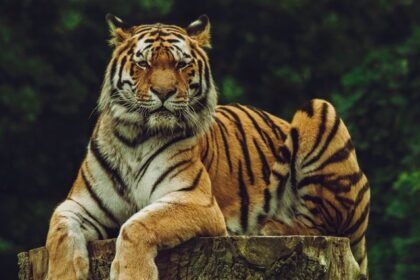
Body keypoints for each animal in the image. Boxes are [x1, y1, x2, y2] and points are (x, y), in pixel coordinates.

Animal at [44, 13, 370, 280]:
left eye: (181, 64)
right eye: (143, 63)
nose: (164, 92)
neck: (135, 137)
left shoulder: (195, 200)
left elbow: (137, 225)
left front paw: (132, 274)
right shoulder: (78, 205)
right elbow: (58, 232)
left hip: (319, 109)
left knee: (323, 225)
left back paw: (270, 227)